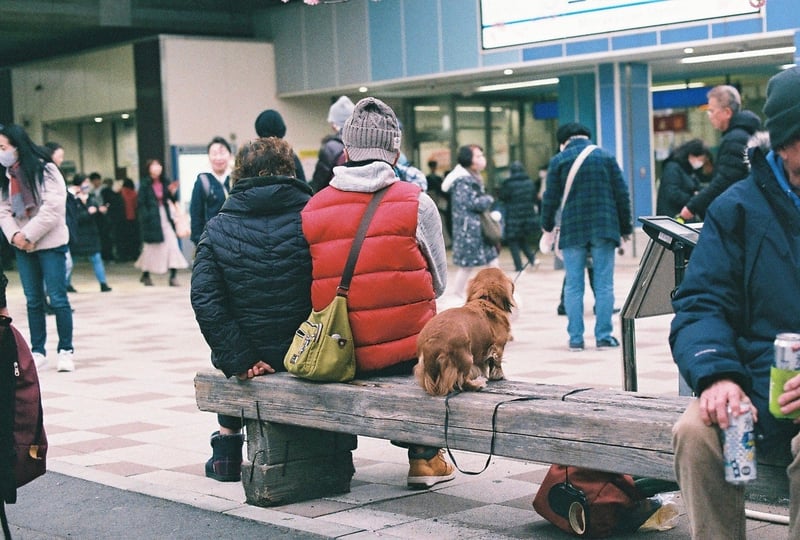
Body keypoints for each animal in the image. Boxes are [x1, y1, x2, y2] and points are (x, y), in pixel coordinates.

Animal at [416, 266, 516, 396]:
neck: (487, 299)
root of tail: (432, 343)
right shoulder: (498, 346)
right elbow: (496, 363)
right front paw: (499, 376)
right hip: (466, 357)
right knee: (463, 380)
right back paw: (477, 385)